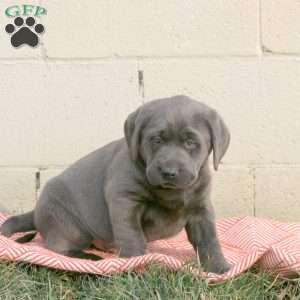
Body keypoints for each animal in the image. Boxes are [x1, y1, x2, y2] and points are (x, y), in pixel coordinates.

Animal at [1, 95, 230, 274]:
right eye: (156, 140)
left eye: (190, 142)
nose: (169, 172)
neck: (169, 192)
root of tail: (36, 211)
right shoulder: (124, 199)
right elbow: (131, 233)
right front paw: (135, 261)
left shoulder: (201, 208)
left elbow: (209, 239)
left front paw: (219, 267)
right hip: (67, 224)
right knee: (57, 247)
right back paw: (90, 258)